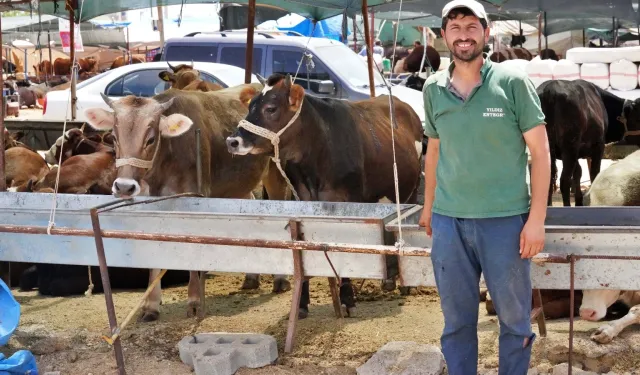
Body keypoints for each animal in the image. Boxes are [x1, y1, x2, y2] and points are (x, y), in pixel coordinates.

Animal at [226, 74, 424, 320]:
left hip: (411, 189)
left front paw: (348, 298)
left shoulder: (350, 204)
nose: (232, 141)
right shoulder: (303, 201)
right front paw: (302, 302)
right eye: (250, 106)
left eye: (270, 108)